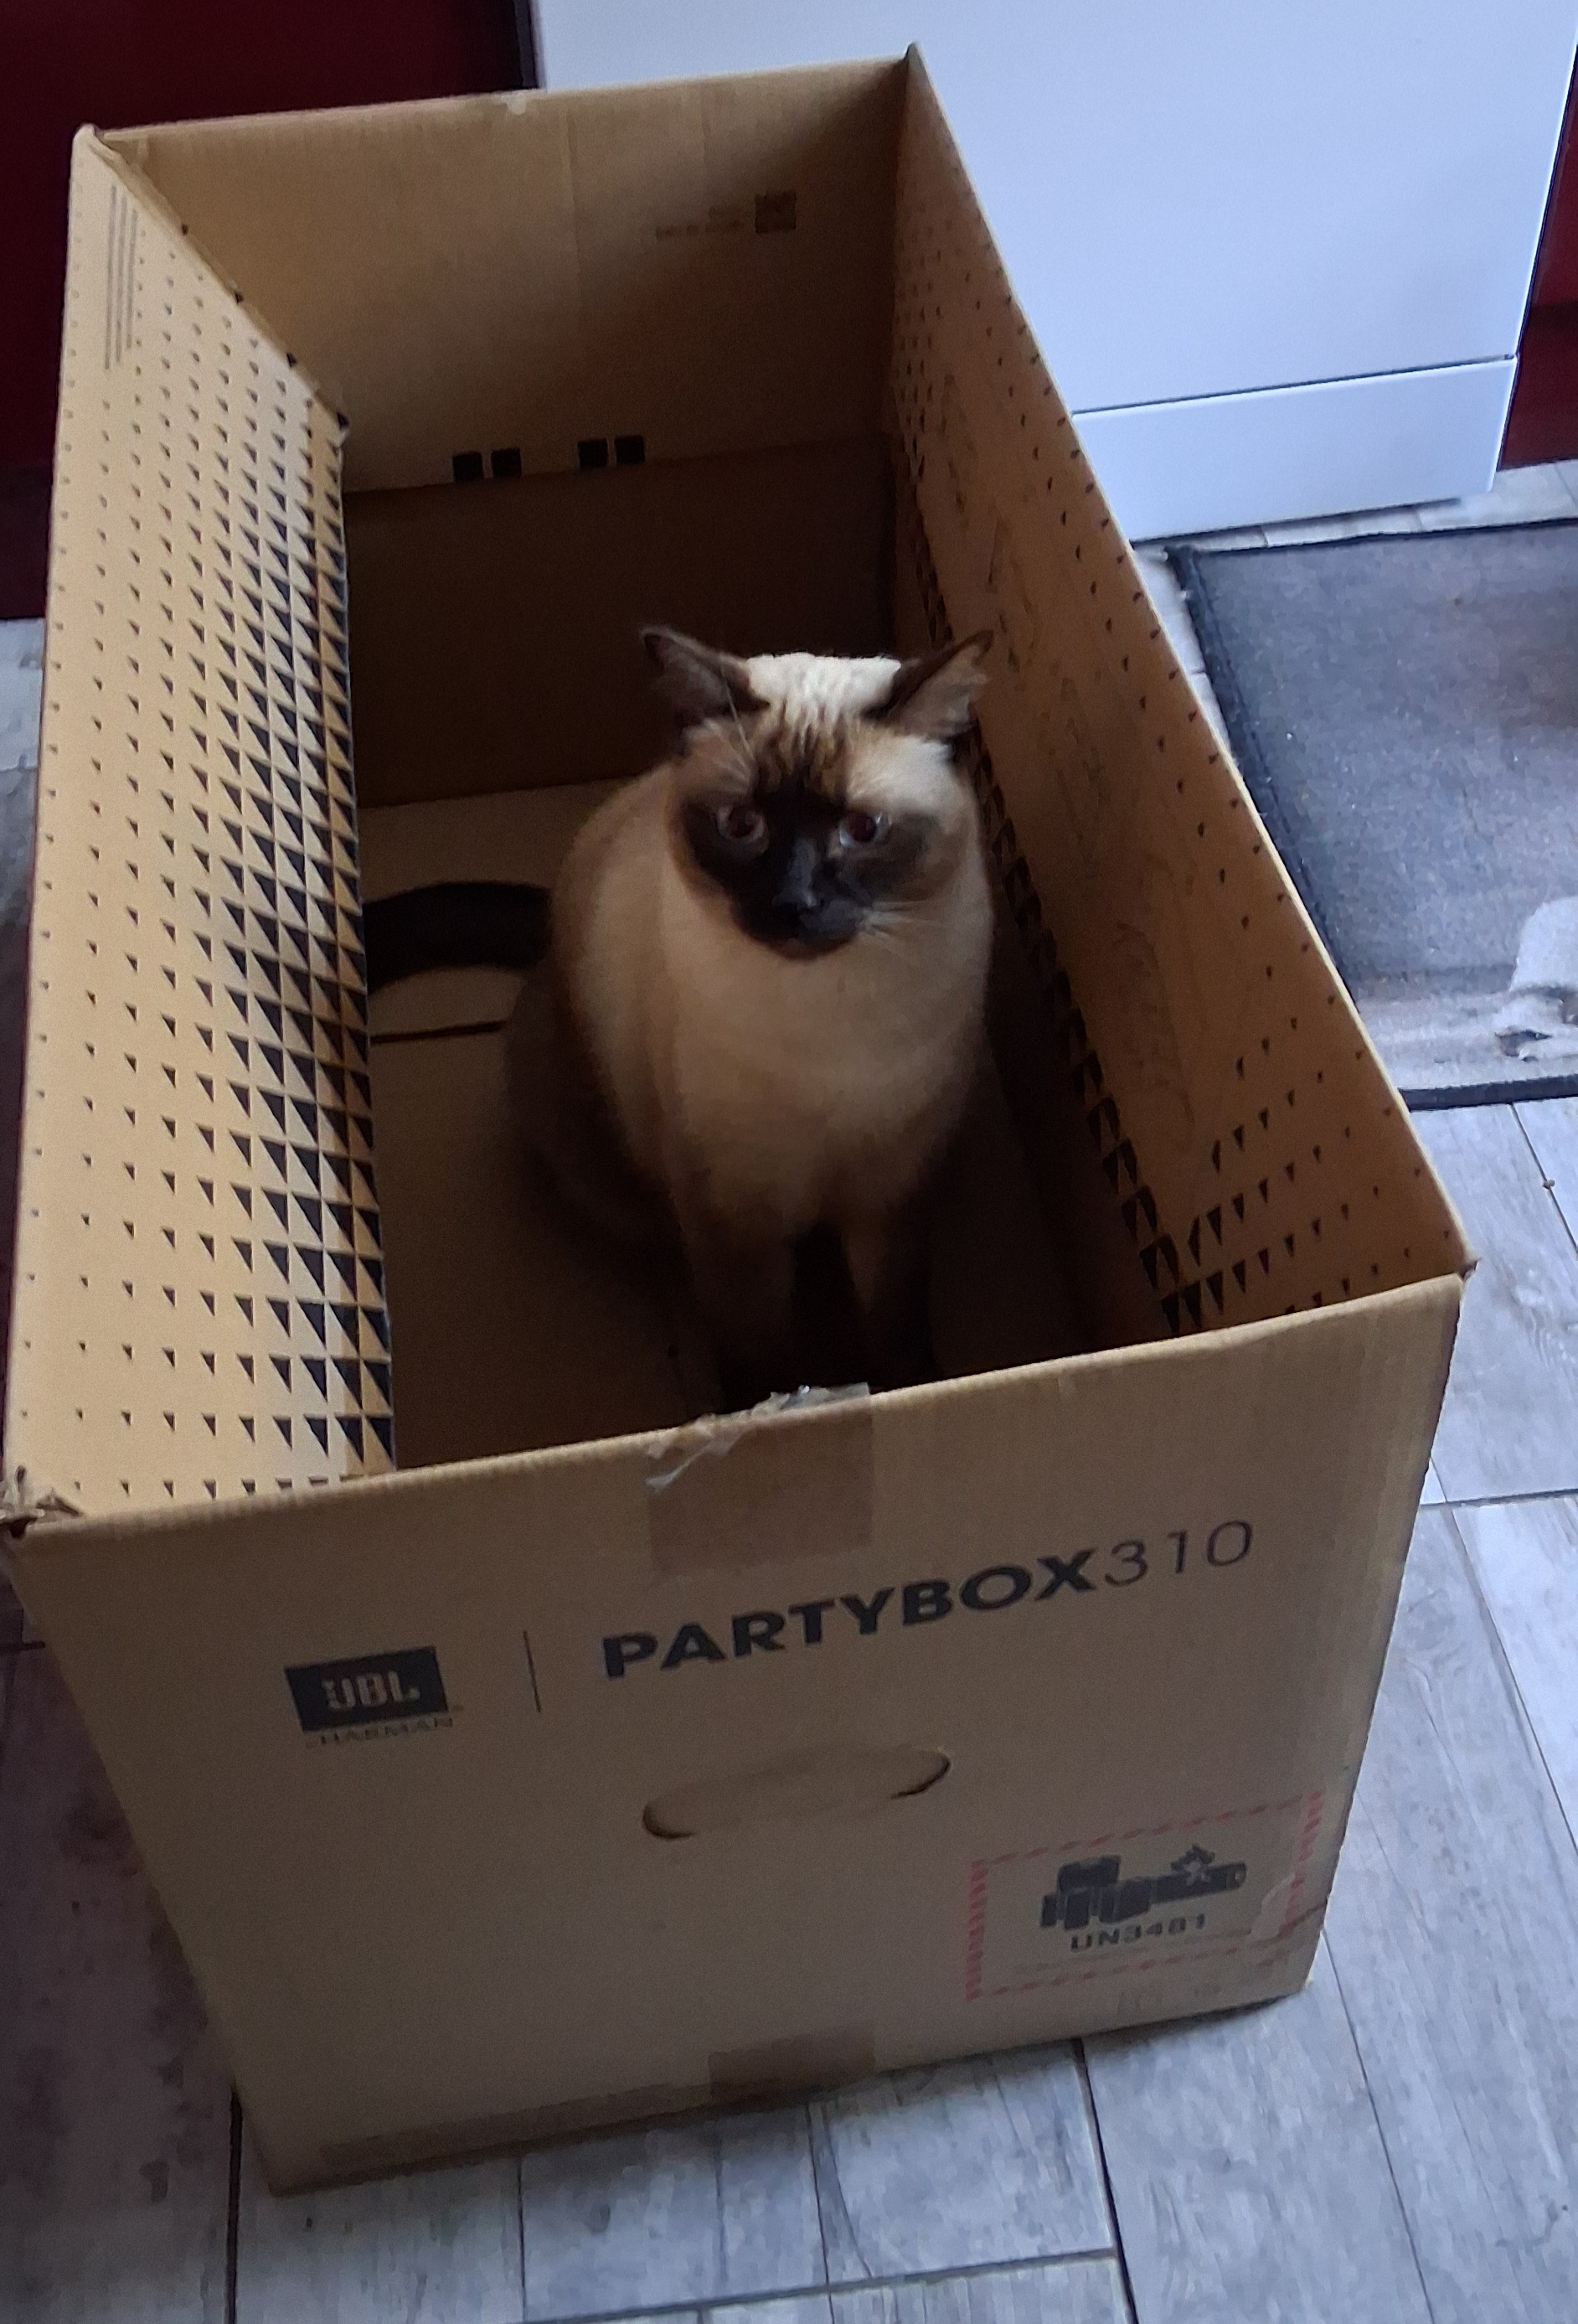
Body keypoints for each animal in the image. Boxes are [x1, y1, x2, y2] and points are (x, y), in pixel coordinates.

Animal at [510, 624, 994, 1409]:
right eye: (743, 825)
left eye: (863, 829)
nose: (792, 905)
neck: (829, 1021)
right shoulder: (733, 1222)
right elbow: (756, 1352)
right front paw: (769, 1413)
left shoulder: (894, 1194)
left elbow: (894, 1326)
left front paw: (917, 1392)